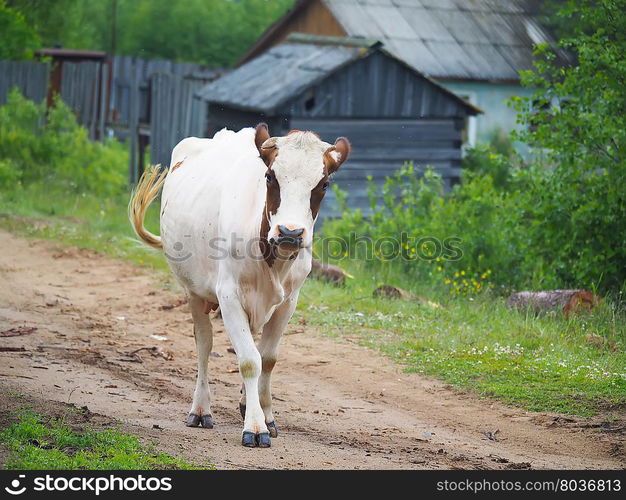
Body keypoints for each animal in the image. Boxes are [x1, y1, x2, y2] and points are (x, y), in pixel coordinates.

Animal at [129, 124, 348, 450]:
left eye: (323, 184)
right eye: (270, 177)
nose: (290, 232)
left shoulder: (288, 302)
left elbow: (267, 359)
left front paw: (265, 415)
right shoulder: (229, 295)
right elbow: (248, 361)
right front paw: (255, 427)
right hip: (194, 293)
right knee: (204, 345)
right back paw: (201, 409)